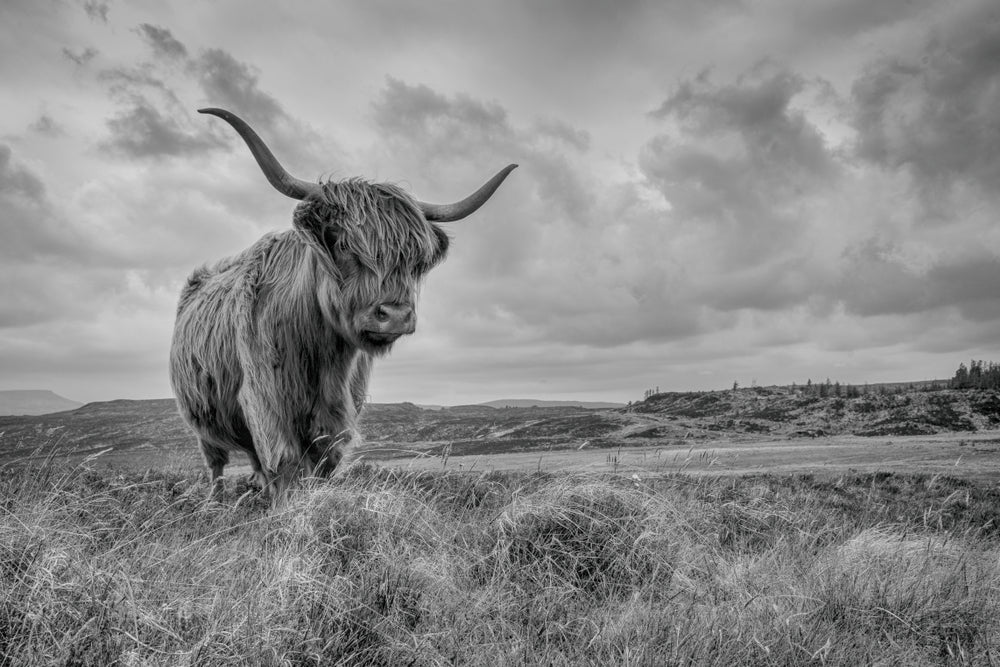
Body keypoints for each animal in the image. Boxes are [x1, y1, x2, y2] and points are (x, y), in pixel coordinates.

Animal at [170, 107, 516, 500]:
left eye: (415, 259)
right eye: (342, 243)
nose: (395, 315)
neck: (321, 354)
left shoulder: (339, 410)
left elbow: (323, 461)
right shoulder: (264, 399)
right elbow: (284, 462)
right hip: (200, 417)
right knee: (215, 462)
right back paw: (216, 501)